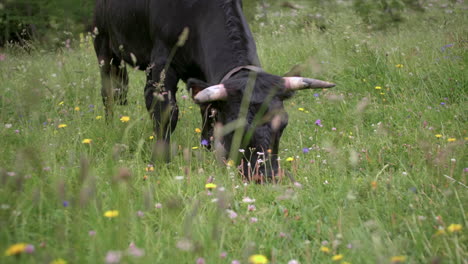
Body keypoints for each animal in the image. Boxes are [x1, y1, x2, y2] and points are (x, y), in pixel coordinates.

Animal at [93, 0, 334, 179]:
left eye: (283, 124)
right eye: (236, 127)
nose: (267, 176)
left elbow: (208, 112)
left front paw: (207, 150)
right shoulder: (162, 65)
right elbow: (166, 113)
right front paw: (160, 163)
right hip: (102, 40)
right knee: (109, 91)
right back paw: (110, 124)